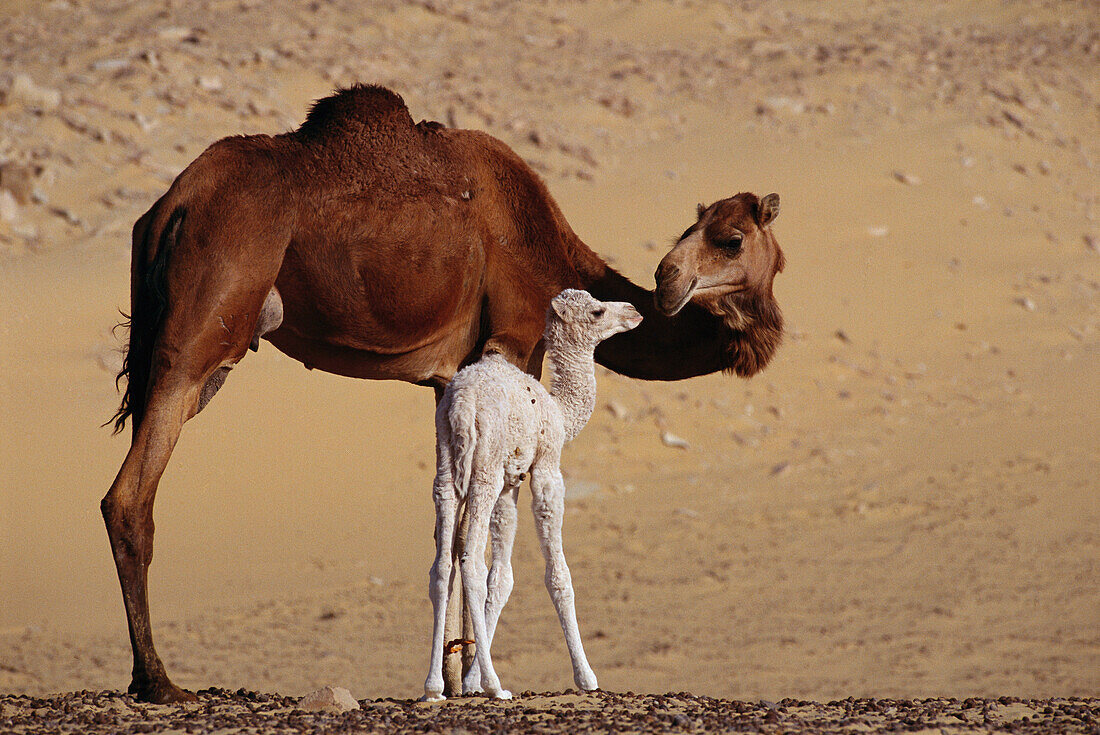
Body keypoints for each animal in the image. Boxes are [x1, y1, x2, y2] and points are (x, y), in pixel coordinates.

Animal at [422, 288, 642, 699]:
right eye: (597, 310)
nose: (634, 311)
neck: (559, 409)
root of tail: (462, 403)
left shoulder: (512, 483)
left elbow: (503, 578)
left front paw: (471, 681)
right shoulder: (545, 468)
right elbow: (558, 575)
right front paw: (586, 677)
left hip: (447, 465)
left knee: (442, 564)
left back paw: (433, 687)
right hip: (485, 467)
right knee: (470, 561)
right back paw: (497, 687)